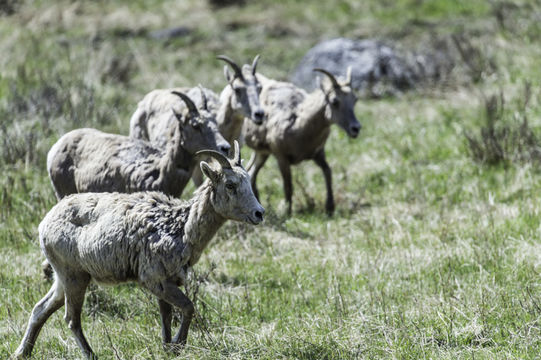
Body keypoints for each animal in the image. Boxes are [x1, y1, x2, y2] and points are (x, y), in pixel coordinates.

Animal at [14, 142, 264, 358]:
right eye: (230, 185)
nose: (259, 213)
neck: (182, 227)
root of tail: (45, 224)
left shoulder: (166, 282)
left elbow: (166, 317)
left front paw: (168, 347)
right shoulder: (155, 280)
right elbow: (188, 307)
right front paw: (179, 345)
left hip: (63, 278)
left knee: (40, 309)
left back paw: (22, 352)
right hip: (74, 277)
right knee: (71, 319)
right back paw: (90, 354)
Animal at [243, 67, 360, 215]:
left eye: (355, 99)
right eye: (334, 101)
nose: (356, 128)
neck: (299, 125)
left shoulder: (318, 155)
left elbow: (328, 172)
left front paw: (330, 208)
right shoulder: (281, 158)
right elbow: (288, 186)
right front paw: (287, 212)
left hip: (262, 154)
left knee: (251, 173)